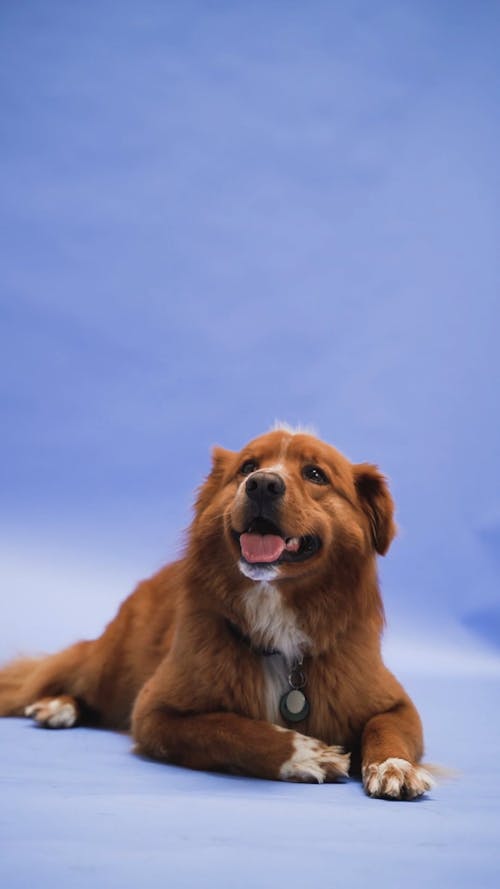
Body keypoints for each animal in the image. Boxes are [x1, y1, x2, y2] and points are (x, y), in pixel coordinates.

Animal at [0, 426, 434, 800]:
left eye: (316, 474)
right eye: (247, 466)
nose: (262, 483)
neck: (277, 619)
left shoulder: (395, 702)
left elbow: (386, 728)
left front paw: (393, 767)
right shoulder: (154, 711)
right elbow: (230, 729)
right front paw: (306, 755)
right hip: (109, 666)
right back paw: (57, 706)